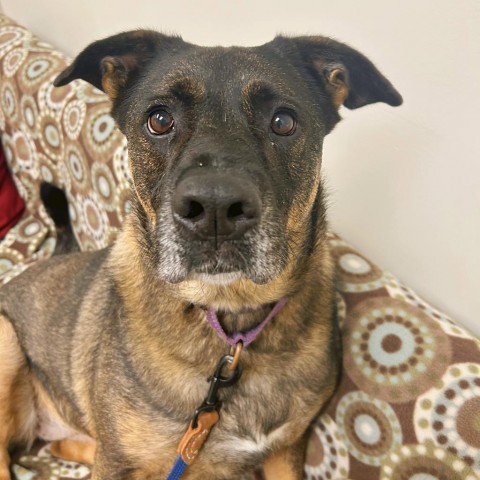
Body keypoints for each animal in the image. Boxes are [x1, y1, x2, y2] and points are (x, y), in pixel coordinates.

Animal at [0, 31, 402, 480]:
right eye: (159, 120)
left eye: (283, 121)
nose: (215, 210)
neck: (230, 324)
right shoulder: (118, 461)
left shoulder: (285, 450)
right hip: (6, 341)